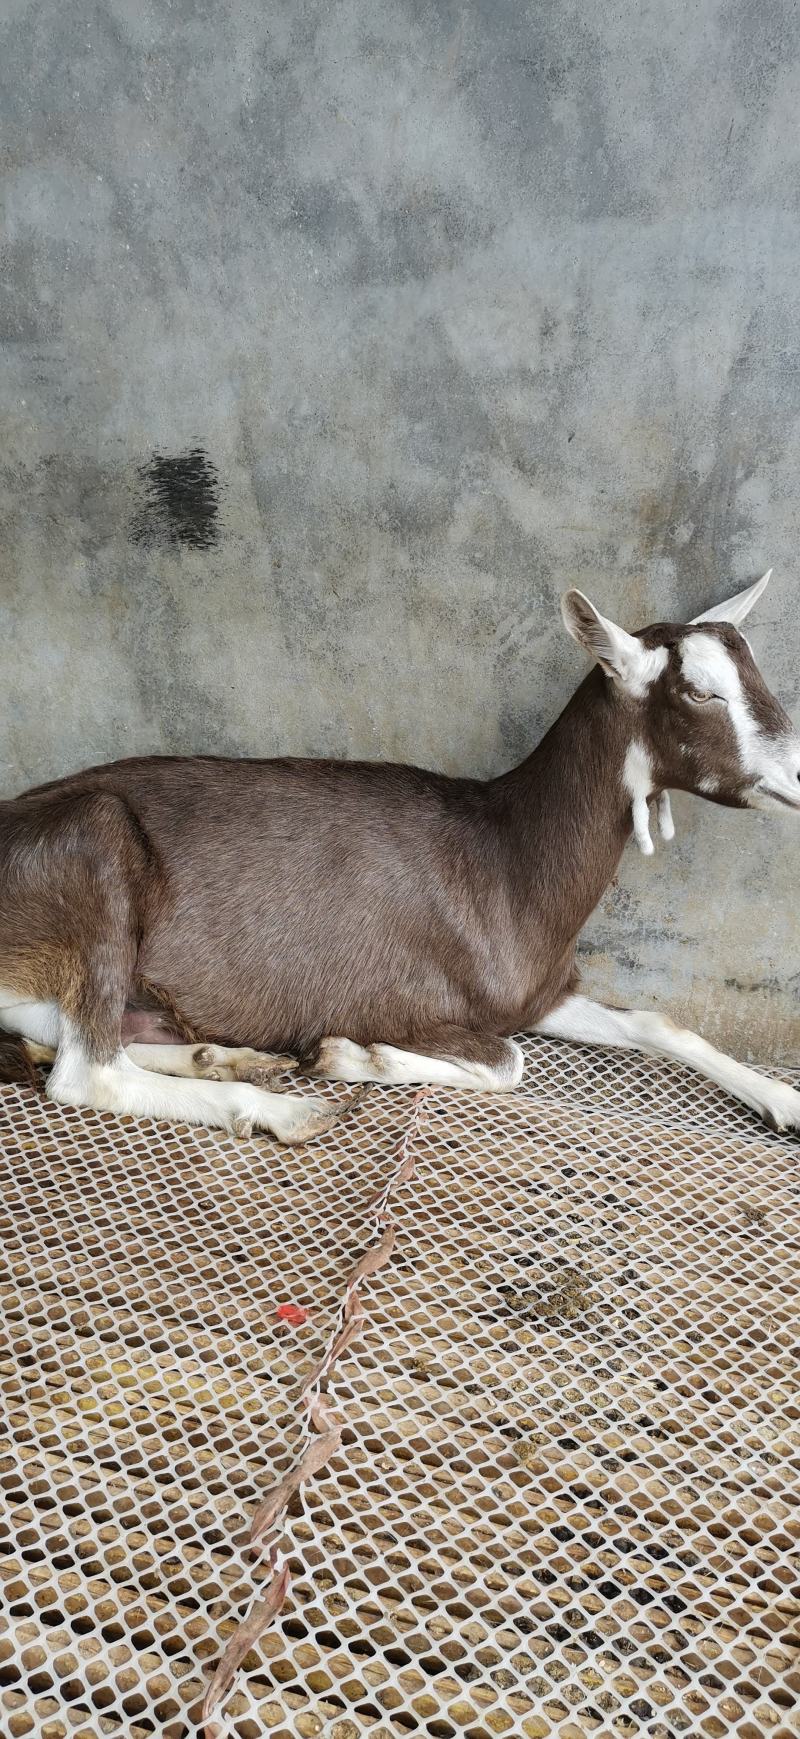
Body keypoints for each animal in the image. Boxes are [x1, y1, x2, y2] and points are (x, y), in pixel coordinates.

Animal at [1, 569, 799, 1143]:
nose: (798, 773)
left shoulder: (545, 992)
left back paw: (222, 1057)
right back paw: (280, 1107)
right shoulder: (407, 1002)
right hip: (94, 854)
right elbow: (508, 1061)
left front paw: (782, 1099)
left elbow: (658, 1023)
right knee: (85, 1069)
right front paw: (351, 1055)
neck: (506, 861)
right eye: (699, 692)